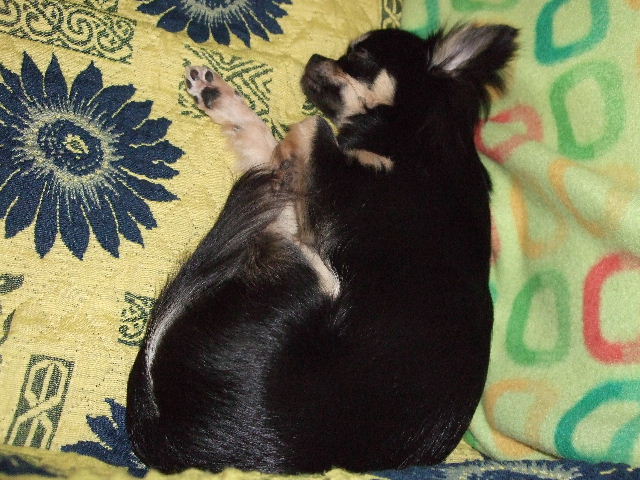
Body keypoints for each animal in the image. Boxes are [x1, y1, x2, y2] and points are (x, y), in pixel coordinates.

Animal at [127, 24, 517, 474]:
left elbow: (305, 130)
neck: (418, 134)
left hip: (315, 272)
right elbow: (278, 148)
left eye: (359, 55)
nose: (315, 58)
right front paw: (225, 101)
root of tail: (164, 435)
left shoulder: (333, 194)